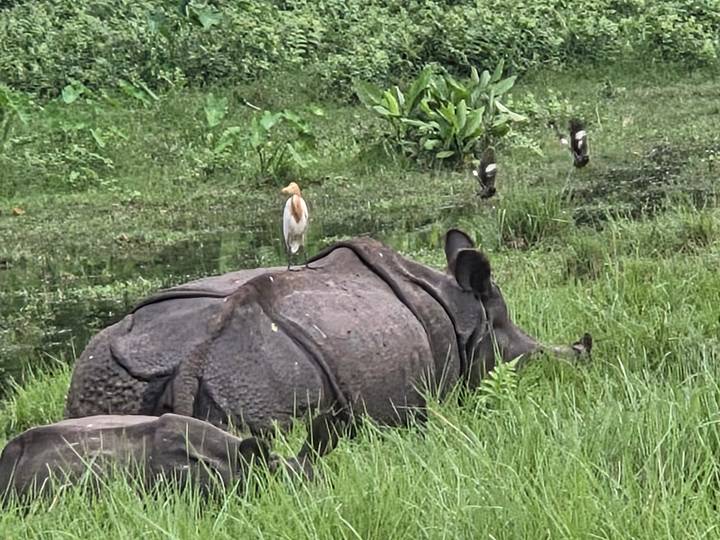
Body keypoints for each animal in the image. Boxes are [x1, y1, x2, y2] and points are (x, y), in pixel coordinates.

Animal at [65, 229, 591, 472]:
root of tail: (195, 354)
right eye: (522, 353)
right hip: (264, 377)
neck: (464, 310)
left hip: (113, 365)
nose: (581, 350)